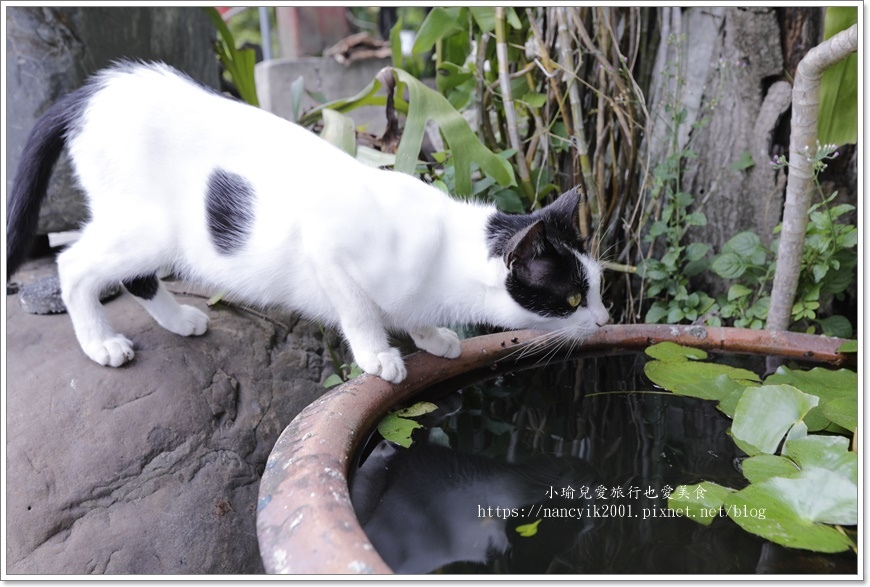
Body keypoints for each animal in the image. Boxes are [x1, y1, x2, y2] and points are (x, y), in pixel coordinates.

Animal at [6, 60, 608, 386]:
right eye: (573, 299)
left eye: (598, 290)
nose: (605, 320)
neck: (443, 258)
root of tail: (94, 91)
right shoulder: (328, 250)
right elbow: (360, 311)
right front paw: (379, 356)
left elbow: (405, 314)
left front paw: (431, 337)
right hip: (145, 227)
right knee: (75, 264)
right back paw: (100, 344)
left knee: (133, 276)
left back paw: (180, 321)